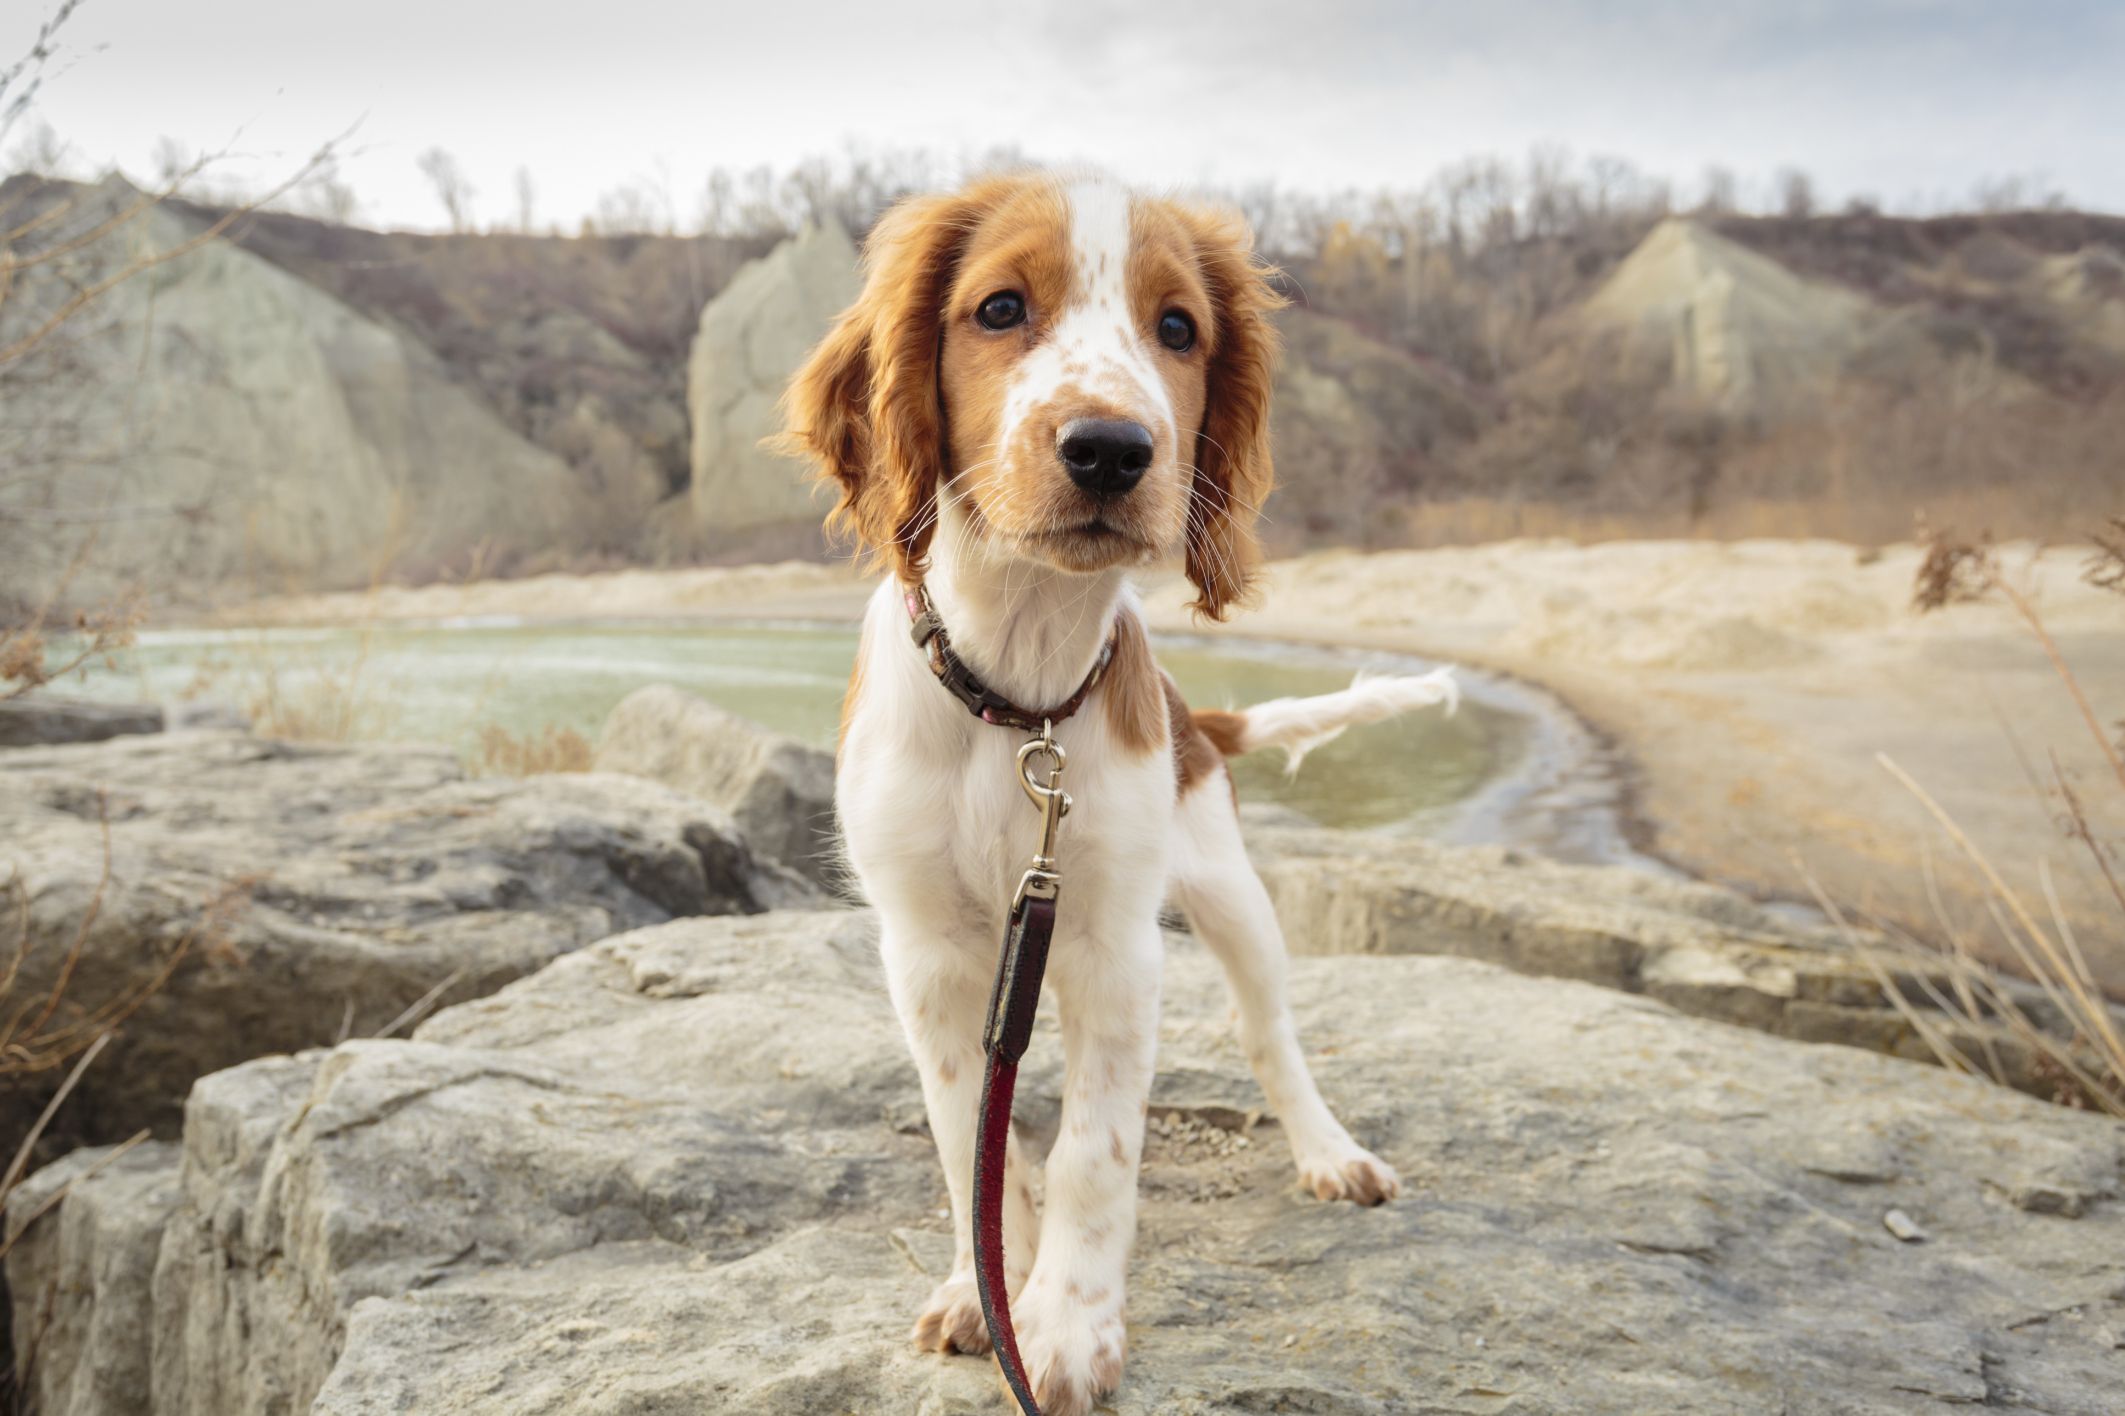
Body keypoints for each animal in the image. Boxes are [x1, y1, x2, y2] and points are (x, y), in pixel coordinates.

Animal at [786, 171, 1462, 1403]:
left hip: (1231, 896)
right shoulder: (929, 954)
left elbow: (1096, 1151)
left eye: (1179, 329)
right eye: (1000, 309)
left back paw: (1328, 1151)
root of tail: (1199, 721)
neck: (1022, 704)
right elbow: (971, 1136)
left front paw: (1062, 1326)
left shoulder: (1109, 942)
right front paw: (986, 1287)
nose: (1109, 449)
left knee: (1269, 1034)